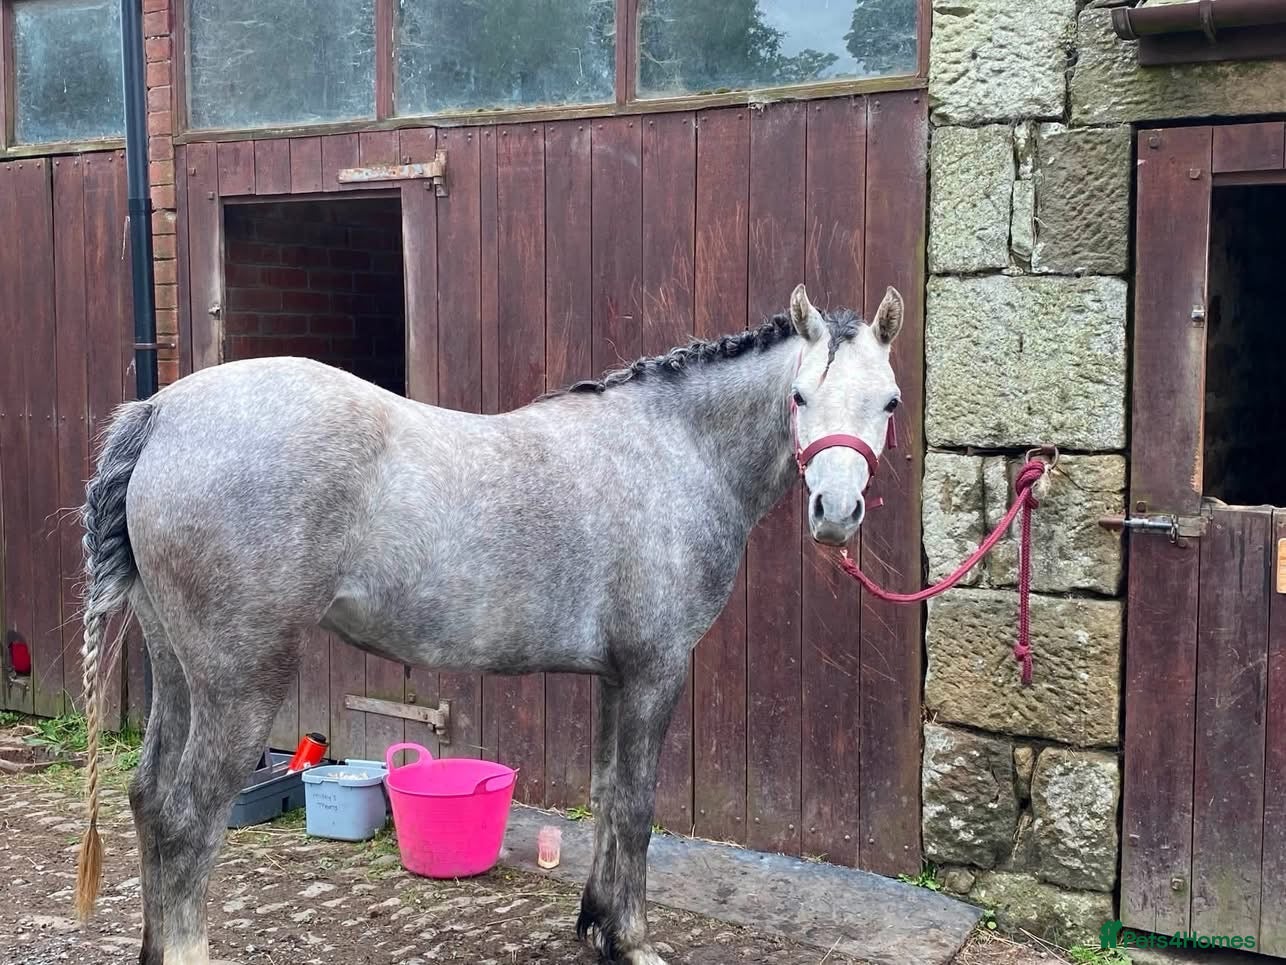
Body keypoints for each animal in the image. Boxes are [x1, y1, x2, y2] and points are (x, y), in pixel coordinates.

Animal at [72, 281, 903, 965]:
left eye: (889, 402)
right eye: (800, 395)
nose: (835, 513)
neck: (671, 451)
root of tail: (163, 413)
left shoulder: (615, 676)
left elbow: (607, 793)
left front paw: (598, 926)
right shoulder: (654, 669)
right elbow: (636, 805)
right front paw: (633, 940)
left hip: (180, 671)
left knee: (150, 801)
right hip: (242, 680)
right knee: (187, 819)